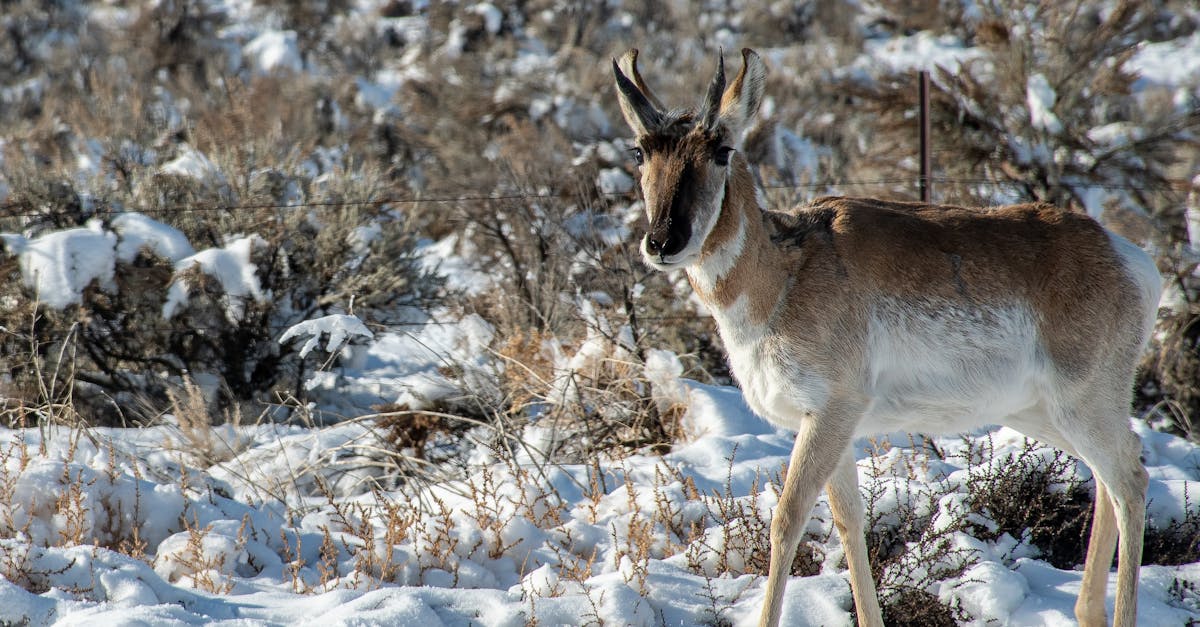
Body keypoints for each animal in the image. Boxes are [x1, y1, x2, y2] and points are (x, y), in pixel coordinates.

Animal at [614, 46, 1156, 619]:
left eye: (721, 150)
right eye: (640, 152)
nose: (661, 241)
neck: (785, 273)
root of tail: (1128, 257)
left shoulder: (832, 412)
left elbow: (787, 520)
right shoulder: (831, 427)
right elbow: (850, 522)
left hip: (1083, 407)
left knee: (1130, 480)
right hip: (1042, 414)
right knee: (1109, 480)